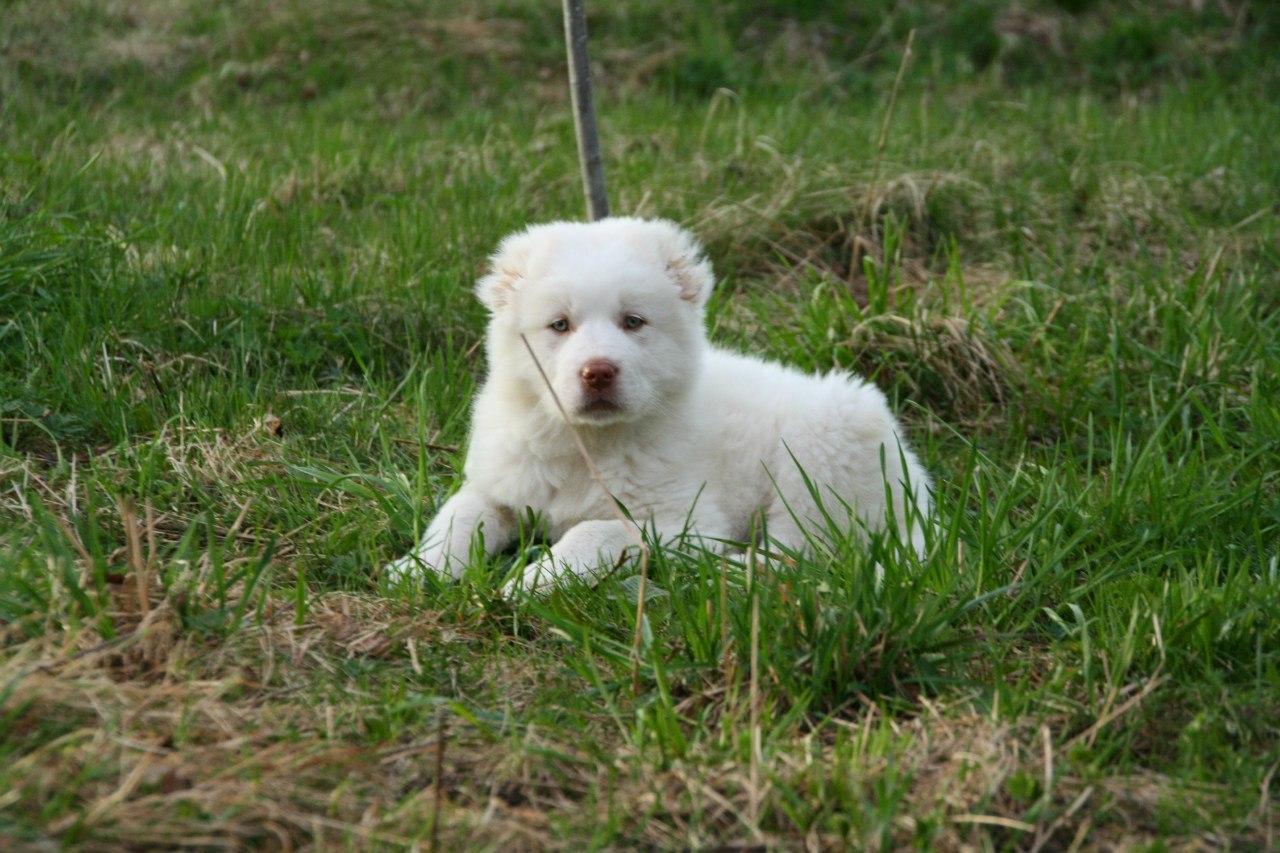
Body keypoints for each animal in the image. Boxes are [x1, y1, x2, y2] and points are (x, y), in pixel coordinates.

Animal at [386, 217, 931, 591]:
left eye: (633, 321)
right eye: (560, 325)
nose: (598, 372)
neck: (588, 444)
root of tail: (920, 492)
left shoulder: (682, 523)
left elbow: (594, 533)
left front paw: (530, 582)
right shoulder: (496, 488)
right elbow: (457, 521)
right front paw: (415, 570)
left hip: (822, 454)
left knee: (808, 553)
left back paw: (727, 572)